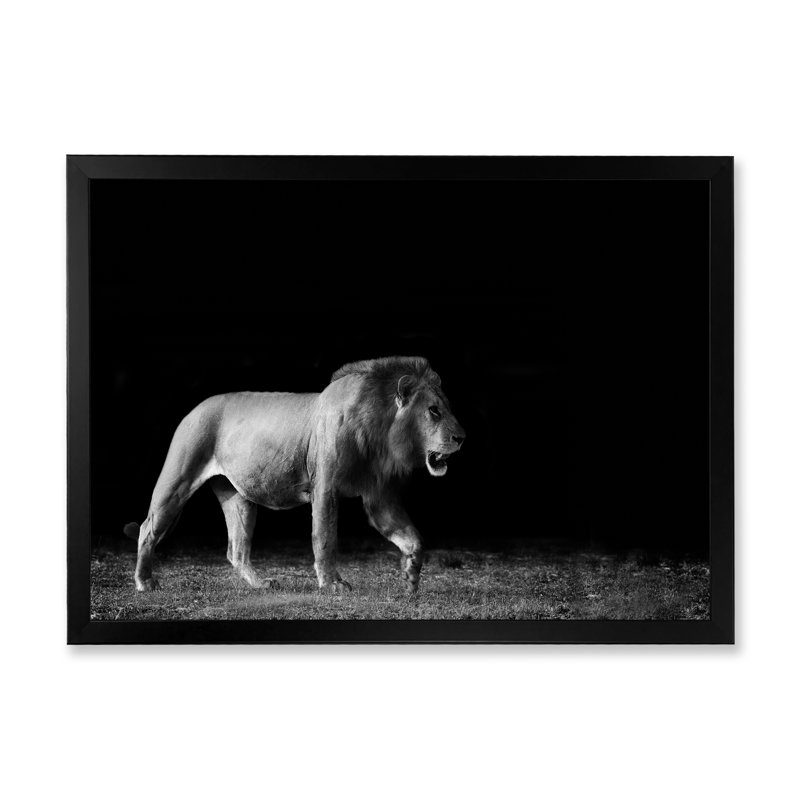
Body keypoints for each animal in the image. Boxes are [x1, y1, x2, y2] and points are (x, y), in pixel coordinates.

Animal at [124, 356, 465, 593]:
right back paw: (144, 583)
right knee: (147, 530)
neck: (382, 431)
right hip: (177, 481)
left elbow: (413, 537)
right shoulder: (325, 487)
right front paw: (332, 584)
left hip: (239, 499)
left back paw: (261, 584)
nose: (462, 438)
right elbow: (325, 537)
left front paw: (411, 577)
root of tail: (195, 408)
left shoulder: (380, 497)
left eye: (446, 407)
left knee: (236, 551)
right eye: (434, 410)